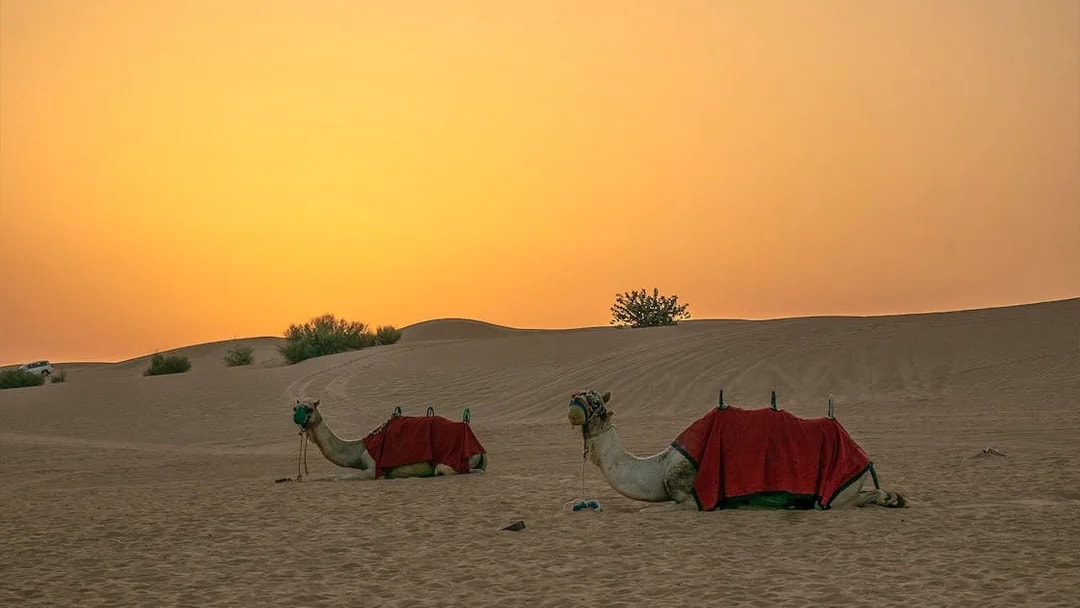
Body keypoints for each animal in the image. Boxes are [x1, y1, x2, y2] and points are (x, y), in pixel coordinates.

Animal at [290, 398, 487, 481]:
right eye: (295, 407)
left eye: (309, 408)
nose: (296, 417)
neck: (360, 448)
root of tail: (479, 448)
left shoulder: (373, 468)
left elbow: (339, 478)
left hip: (451, 462)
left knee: (447, 470)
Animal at [566, 390, 907, 512]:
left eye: (594, 400)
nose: (572, 404)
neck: (659, 466)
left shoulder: (690, 497)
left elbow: (647, 510)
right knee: (874, 495)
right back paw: (894, 499)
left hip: (838, 489)